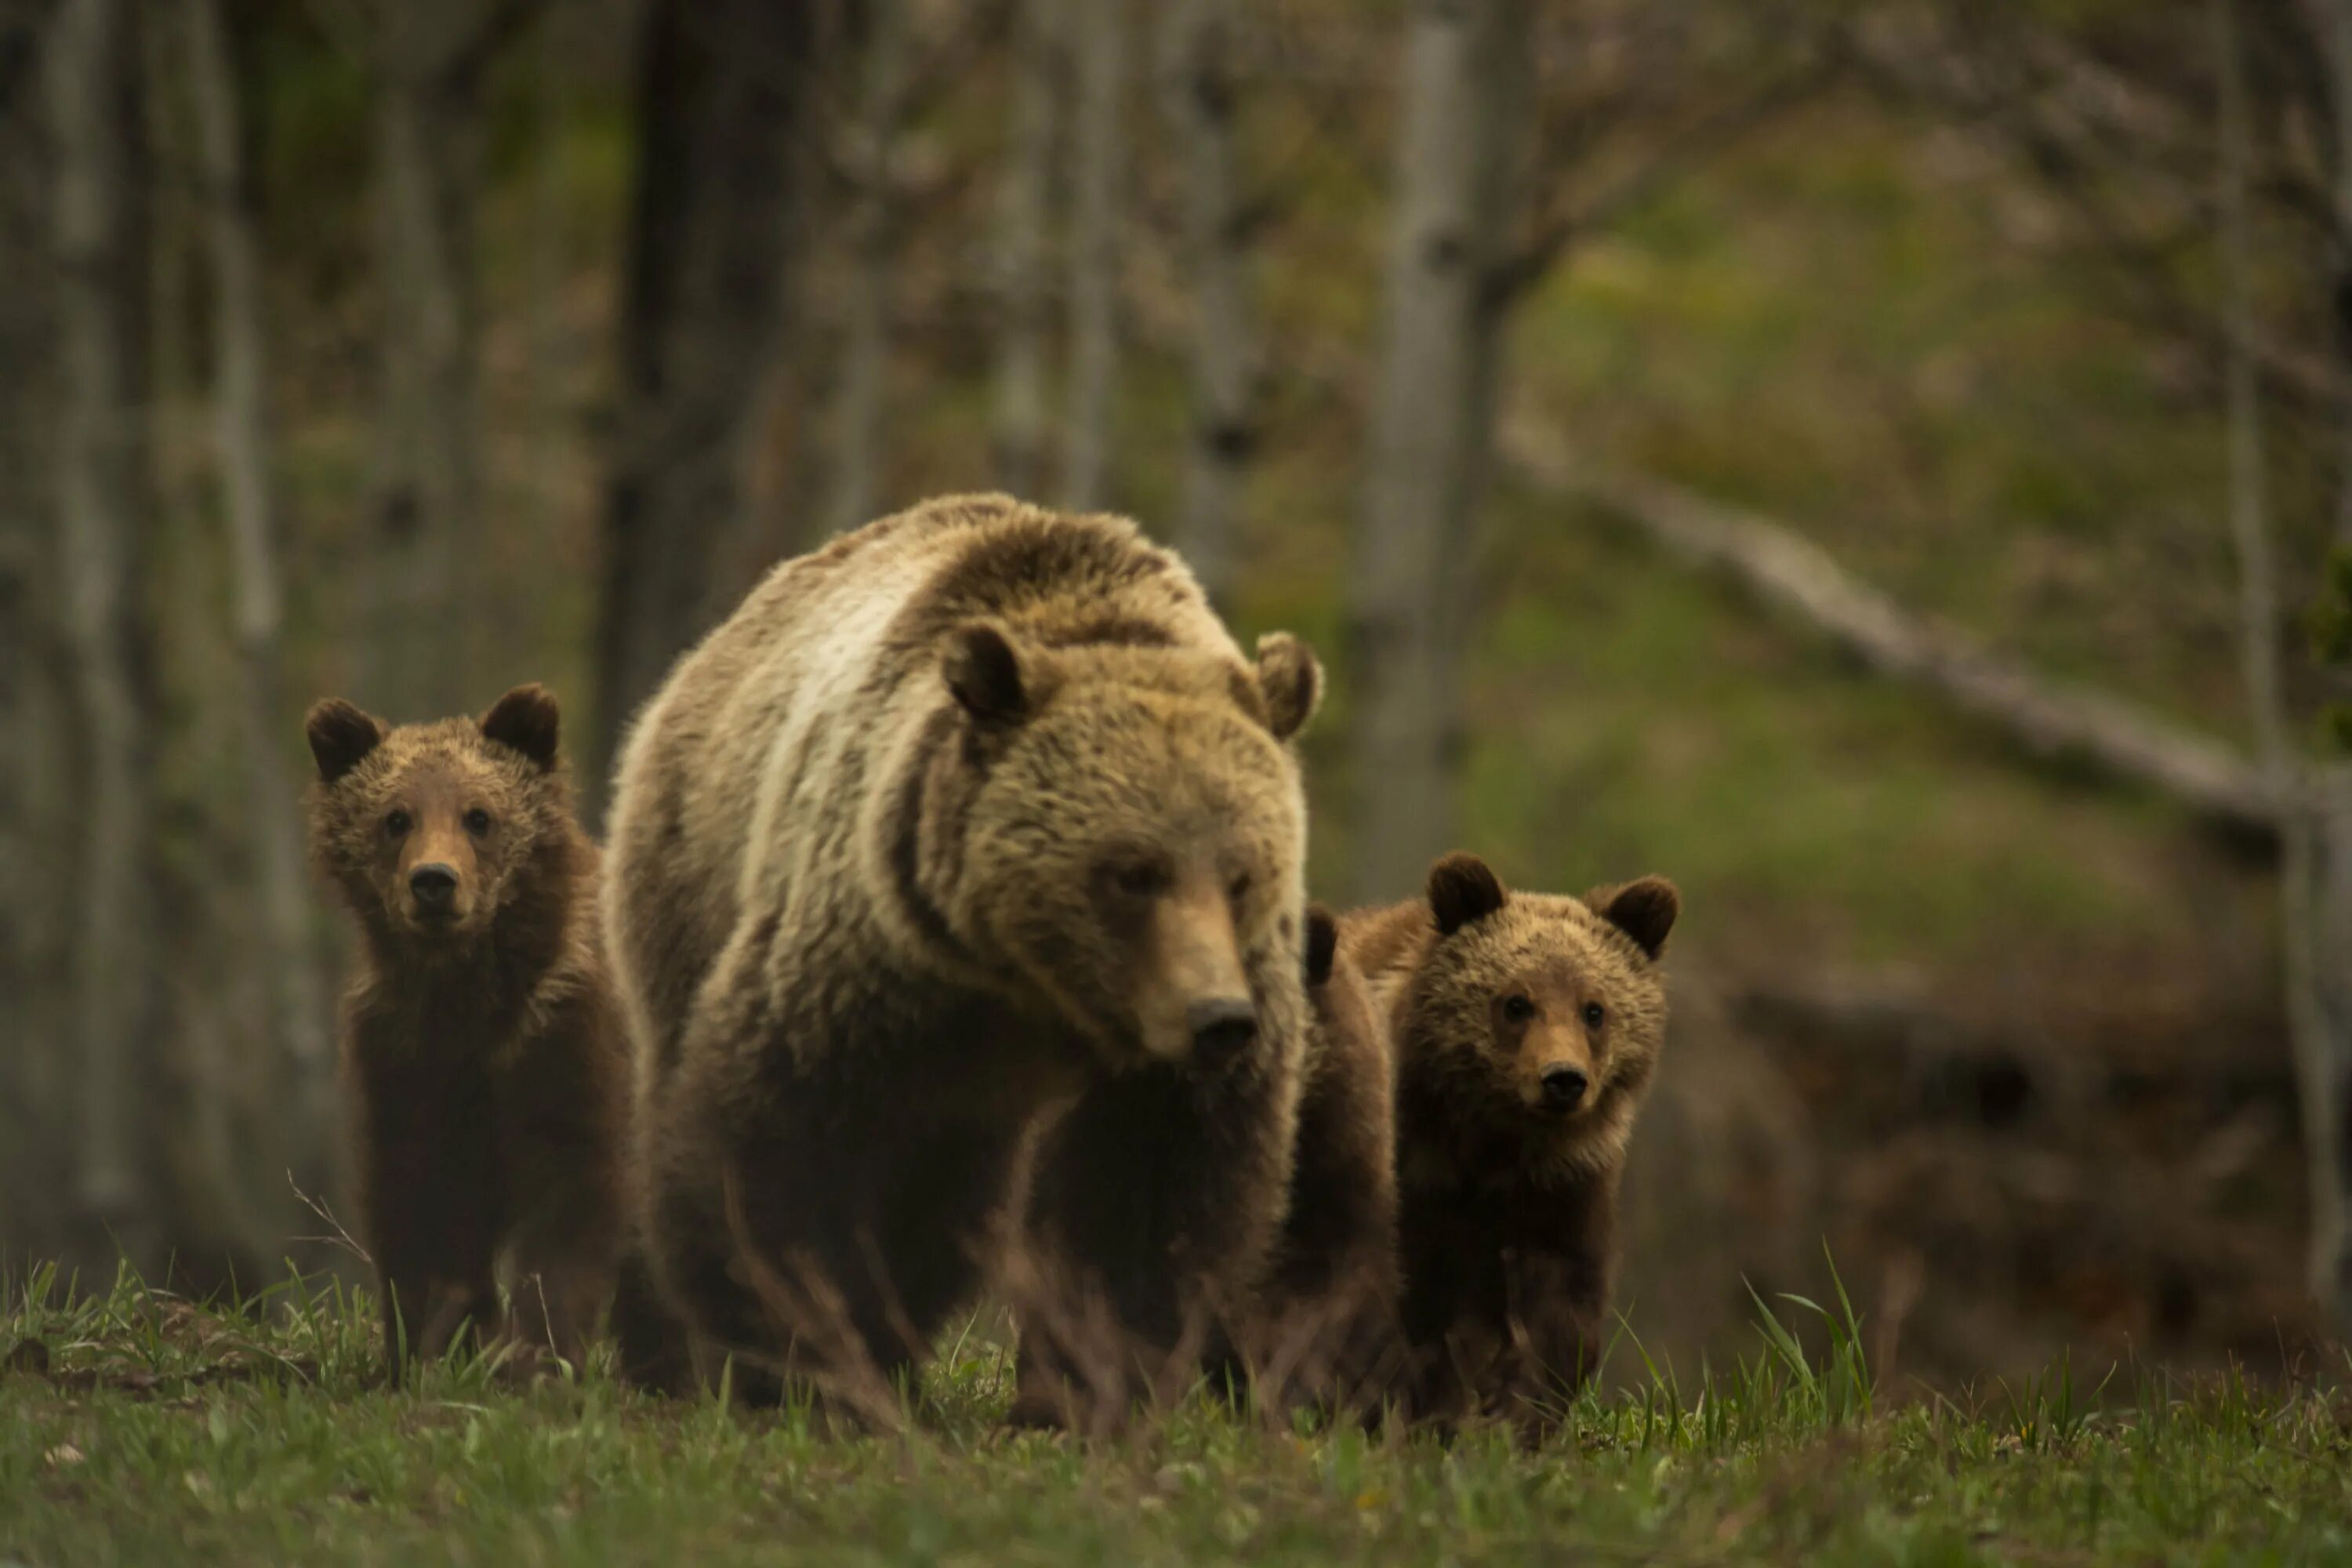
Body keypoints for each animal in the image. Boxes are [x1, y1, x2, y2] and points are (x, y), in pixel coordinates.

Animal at [308, 681, 630, 1373]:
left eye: (479, 815)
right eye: (396, 817)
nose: (434, 882)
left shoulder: (566, 1038)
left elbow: (573, 1187)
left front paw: (536, 1352)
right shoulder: (410, 1057)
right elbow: (421, 1197)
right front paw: (432, 1339)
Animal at [607, 495, 1327, 1429]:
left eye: (1242, 874)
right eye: (1133, 870)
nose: (1217, 1020)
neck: (1034, 988)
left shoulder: (1177, 1053)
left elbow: (1152, 1191)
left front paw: (1092, 1386)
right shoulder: (870, 964)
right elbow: (779, 1136)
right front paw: (799, 1358)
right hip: (693, 865)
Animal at [1345, 851, 1675, 1439]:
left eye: (1595, 1009)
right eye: (1516, 1002)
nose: (1563, 1079)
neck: (1495, 1146)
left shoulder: (1565, 1188)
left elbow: (1562, 1307)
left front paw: (1518, 1412)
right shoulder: (1419, 1185)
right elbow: (1416, 1304)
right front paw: (1430, 1412)